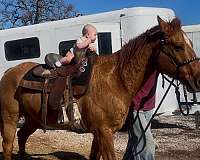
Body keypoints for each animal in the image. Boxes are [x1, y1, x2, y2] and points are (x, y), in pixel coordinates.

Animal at [0, 15, 200, 160]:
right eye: (178, 46)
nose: (197, 79)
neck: (116, 79)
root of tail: (9, 72)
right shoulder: (104, 132)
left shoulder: (98, 133)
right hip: (10, 118)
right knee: (8, 145)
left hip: (32, 119)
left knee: (22, 136)